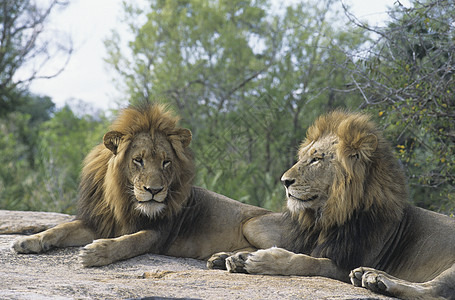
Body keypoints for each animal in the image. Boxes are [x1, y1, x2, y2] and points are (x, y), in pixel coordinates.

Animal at [11, 102, 282, 268]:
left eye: (166, 162)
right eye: (138, 160)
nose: (154, 191)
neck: (122, 201)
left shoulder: (157, 234)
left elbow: (129, 242)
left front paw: (96, 253)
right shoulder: (98, 222)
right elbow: (60, 229)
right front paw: (28, 240)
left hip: (253, 225)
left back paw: (240, 259)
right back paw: (226, 259)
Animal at [224, 110, 455, 300]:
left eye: (316, 159)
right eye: (302, 157)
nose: (284, 181)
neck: (327, 219)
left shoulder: (344, 265)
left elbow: (311, 262)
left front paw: (261, 259)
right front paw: (235, 257)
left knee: (434, 291)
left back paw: (377, 279)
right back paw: (368, 276)